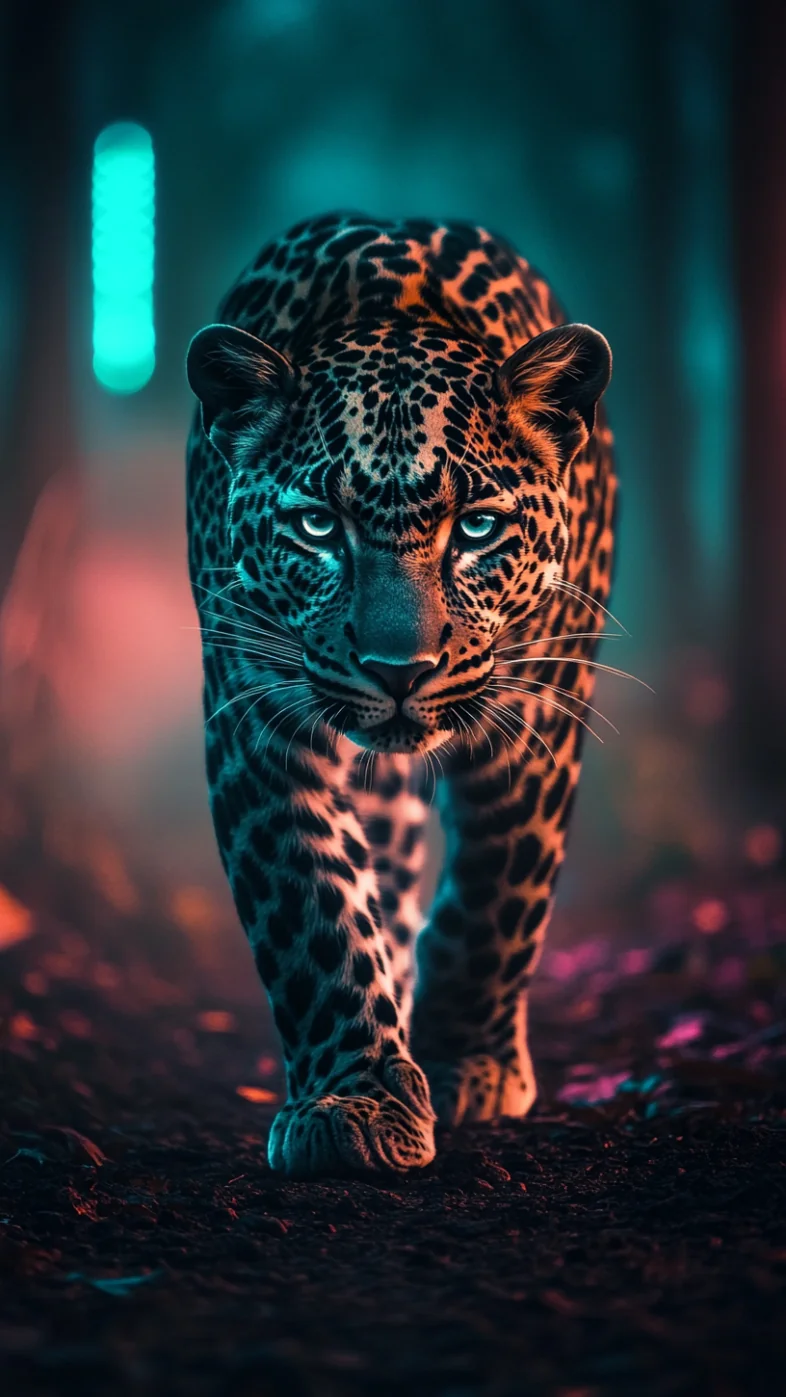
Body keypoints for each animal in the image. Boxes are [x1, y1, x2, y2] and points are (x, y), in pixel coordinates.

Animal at [185, 211, 617, 1177]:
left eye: (478, 528)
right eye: (318, 525)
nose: (398, 670)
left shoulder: (538, 706)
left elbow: (500, 885)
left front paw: (467, 1062)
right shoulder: (255, 713)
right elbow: (314, 906)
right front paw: (356, 1103)